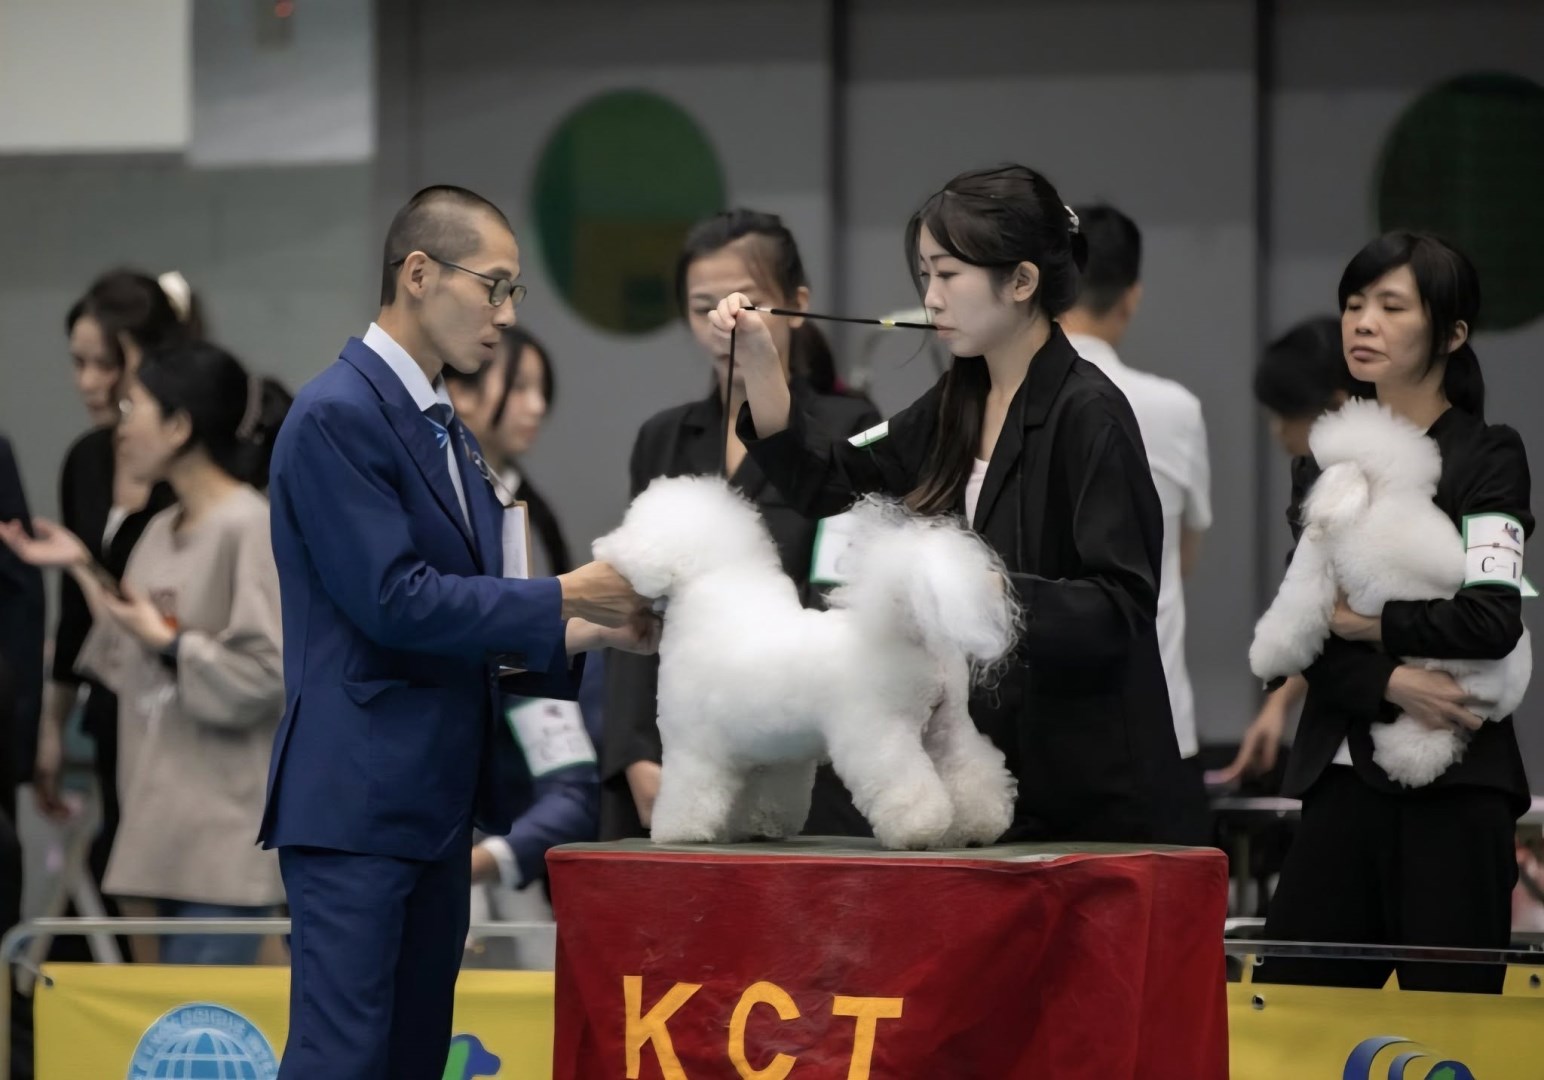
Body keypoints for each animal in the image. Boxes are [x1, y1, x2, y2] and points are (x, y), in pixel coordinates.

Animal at [593, 476, 1019, 849]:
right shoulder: (776, 753)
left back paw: (918, 830)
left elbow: (690, 793)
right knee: (972, 772)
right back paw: (976, 828)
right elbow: (770, 795)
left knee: (905, 781)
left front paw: (678, 831)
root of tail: (910, 631)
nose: (604, 548)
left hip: (879, 730)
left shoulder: (692, 745)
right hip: (949, 724)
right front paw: (760, 827)